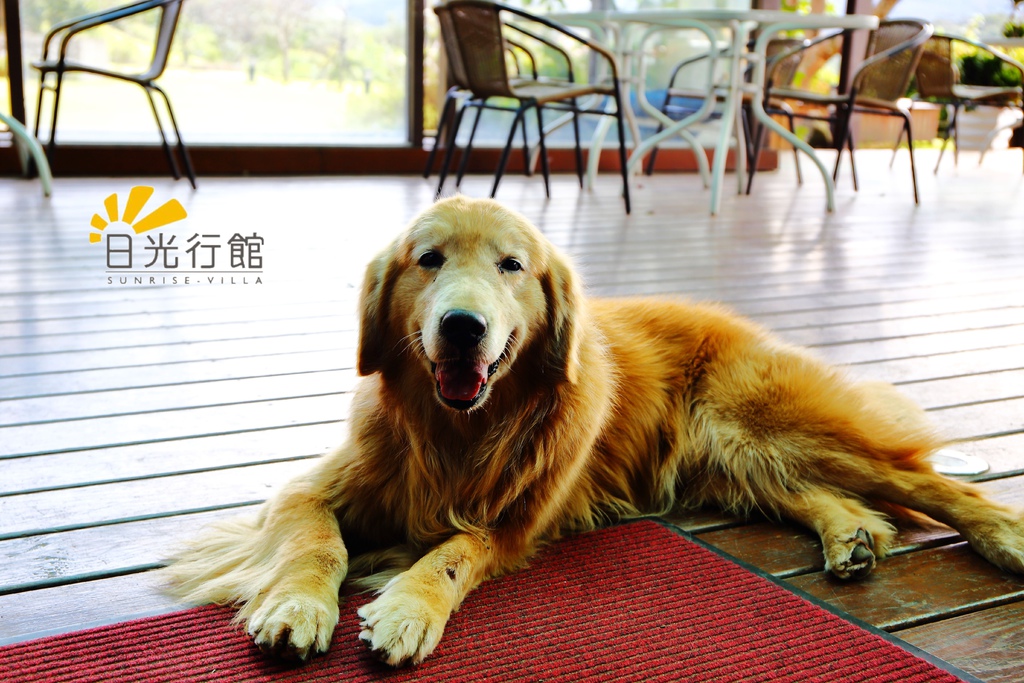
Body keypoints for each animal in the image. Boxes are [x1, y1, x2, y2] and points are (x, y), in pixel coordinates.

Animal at [165, 195, 1024, 667]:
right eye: (428, 259)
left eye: (511, 265)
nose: (463, 327)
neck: (455, 433)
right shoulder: (308, 490)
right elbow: (317, 541)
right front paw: (299, 606)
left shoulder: (514, 521)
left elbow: (452, 552)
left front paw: (409, 608)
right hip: (730, 456)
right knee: (815, 491)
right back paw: (850, 535)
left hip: (771, 423)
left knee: (917, 478)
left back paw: (1002, 535)